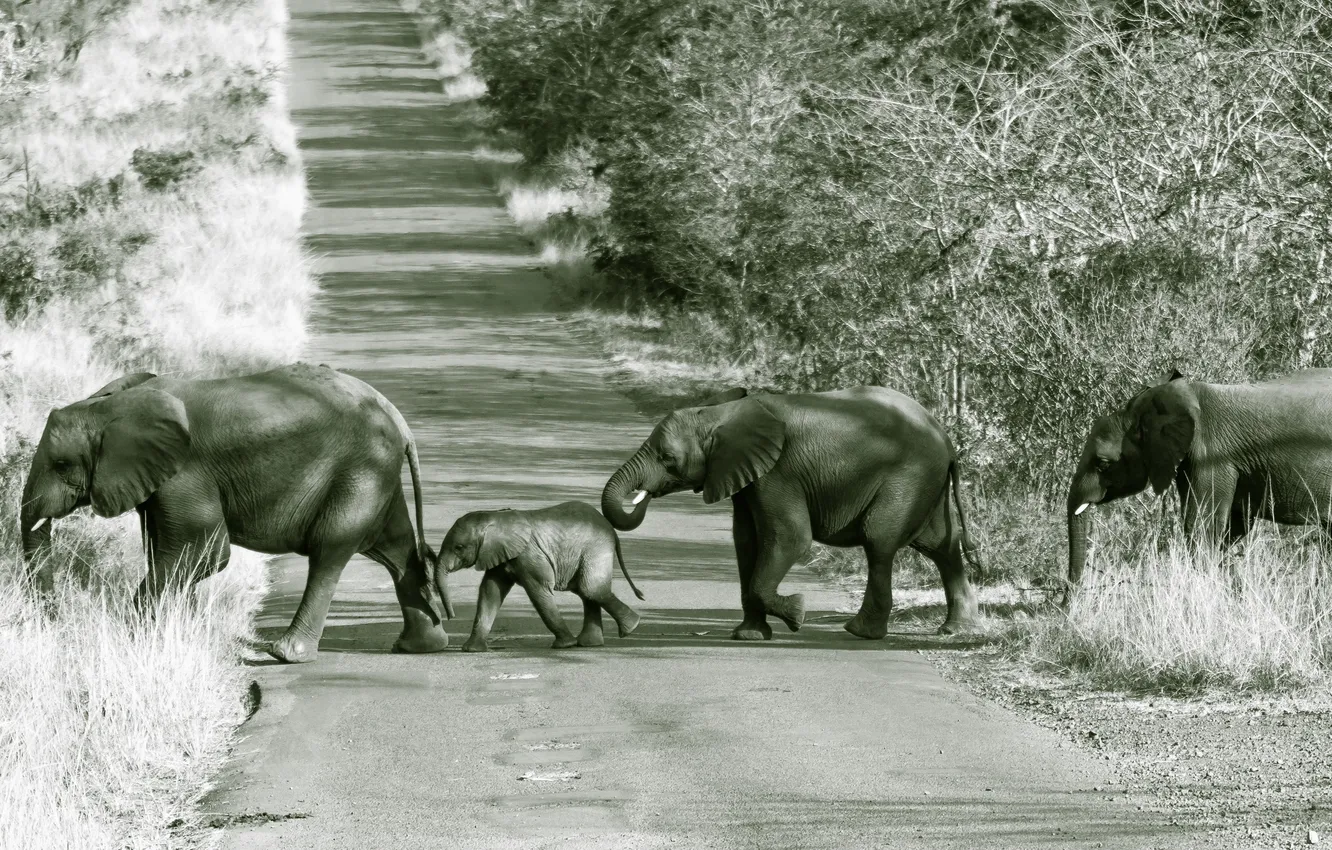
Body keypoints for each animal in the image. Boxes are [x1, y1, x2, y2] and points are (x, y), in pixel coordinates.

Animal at [19, 362, 455, 663]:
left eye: (61, 465)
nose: (55, 623)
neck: (109, 407)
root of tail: (399, 419)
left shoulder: (186, 473)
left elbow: (206, 551)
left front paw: (138, 640)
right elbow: (169, 554)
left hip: (359, 468)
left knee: (329, 550)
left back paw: (286, 654)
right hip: (375, 471)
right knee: (394, 548)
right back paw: (419, 646)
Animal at [435, 501, 645, 652]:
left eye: (459, 548)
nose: (450, 617)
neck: (494, 516)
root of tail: (611, 528)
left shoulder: (528, 554)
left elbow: (538, 591)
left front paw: (564, 645)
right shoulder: (500, 554)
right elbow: (490, 592)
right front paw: (471, 650)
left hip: (595, 548)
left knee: (591, 589)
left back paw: (631, 627)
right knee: (586, 592)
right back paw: (591, 643)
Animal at [600, 386, 981, 640]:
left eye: (666, 458)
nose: (642, 496)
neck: (722, 413)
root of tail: (947, 441)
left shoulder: (778, 472)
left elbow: (789, 538)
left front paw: (797, 614)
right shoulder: (747, 476)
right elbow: (746, 542)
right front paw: (750, 636)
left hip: (909, 476)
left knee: (880, 540)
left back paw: (860, 632)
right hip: (926, 482)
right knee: (941, 545)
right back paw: (955, 629)